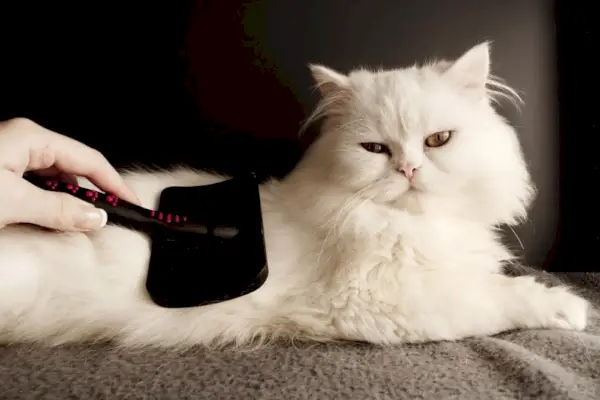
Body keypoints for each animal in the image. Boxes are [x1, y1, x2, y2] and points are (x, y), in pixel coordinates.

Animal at [0, 42, 584, 348]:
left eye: (438, 141)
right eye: (376, 149)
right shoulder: (385, 302)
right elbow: (499, 296)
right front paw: (573, 310)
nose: (409, 169)